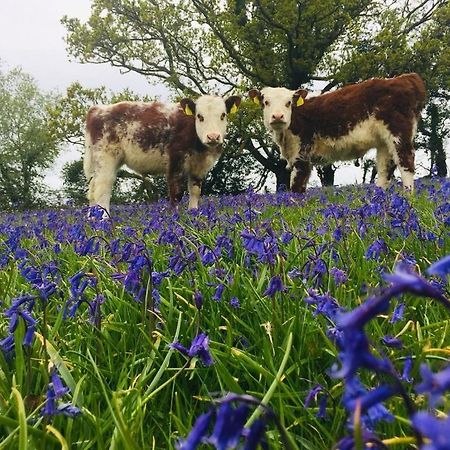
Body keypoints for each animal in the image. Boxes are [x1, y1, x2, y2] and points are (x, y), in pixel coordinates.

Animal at [83, 93, 241, 213]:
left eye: (223, 115)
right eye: (199, 116)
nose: (213, 136)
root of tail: (97, 109)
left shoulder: (199, 167)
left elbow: (195, 192)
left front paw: (194, 214)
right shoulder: (175, 161)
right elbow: (176, 193)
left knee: (92, 191)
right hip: (106, 158)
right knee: (102, 189)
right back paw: (104, 221)